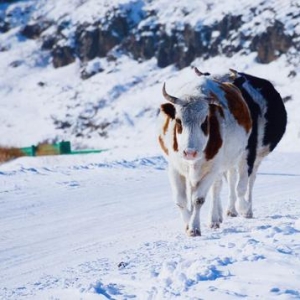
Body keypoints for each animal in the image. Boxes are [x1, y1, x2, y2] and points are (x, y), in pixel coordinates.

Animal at [158, 75, 252, 237]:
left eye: (204, 122)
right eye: (178, 121)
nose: (190, 152)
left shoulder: (211, 169)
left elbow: (198, 199)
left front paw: (194, 227)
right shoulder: (175, 168)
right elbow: (181, 200)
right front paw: (188, 224)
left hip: (239, 155)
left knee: (233, 184)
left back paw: (234, 211)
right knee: (217, 186)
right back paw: (217, 217)